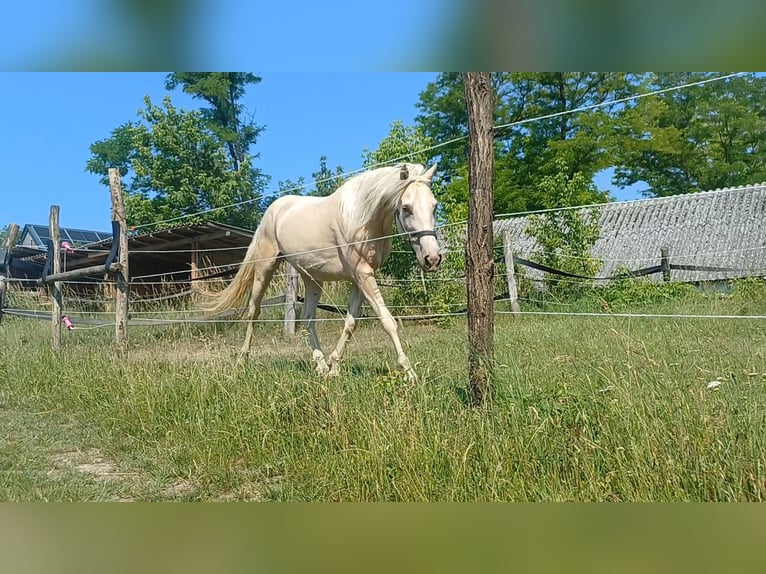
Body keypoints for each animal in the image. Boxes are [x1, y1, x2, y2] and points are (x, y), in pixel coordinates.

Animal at [205, 162, 442, 381]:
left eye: (434, 206)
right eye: (406, 208)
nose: (432, 259)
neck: (361, 219)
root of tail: (274, 208)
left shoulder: (360, 279)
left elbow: (350, 323)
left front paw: (334, 366)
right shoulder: (363, 275)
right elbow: (388, 321)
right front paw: (410, 372)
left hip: (312, 279)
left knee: (308, 318)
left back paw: (320, 364)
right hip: (266, 268)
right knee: (254, 312)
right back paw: (241, 360)